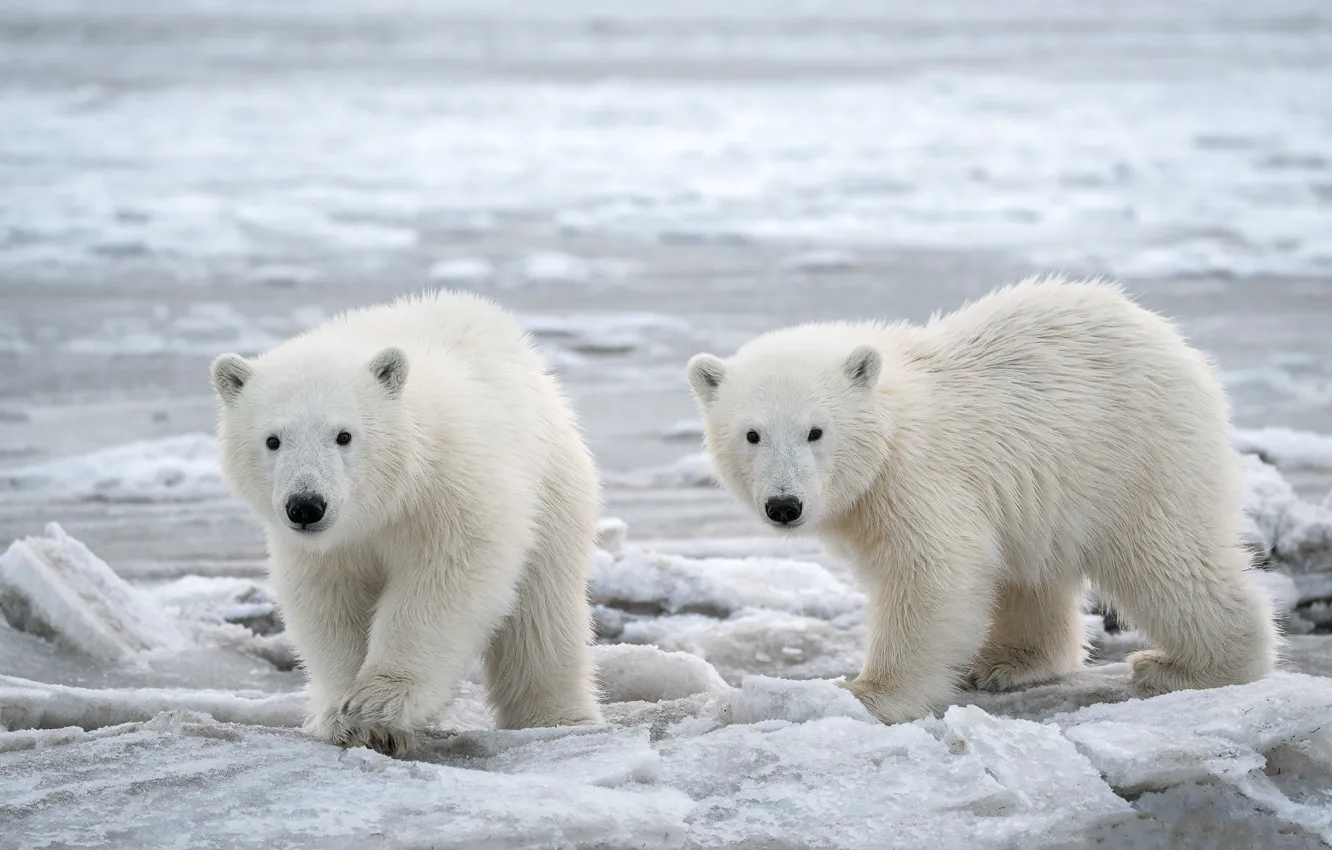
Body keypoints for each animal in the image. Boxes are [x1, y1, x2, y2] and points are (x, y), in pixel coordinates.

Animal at [211, 290, 604, 754]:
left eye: (343, 435)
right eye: (273, 440)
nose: (306, 505)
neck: (384, 503)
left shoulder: (448, 490)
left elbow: (447, 579)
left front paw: (381, 702)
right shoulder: (327, 547)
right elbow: (329, 602)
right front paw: (346, 718)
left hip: (552, 485)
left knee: (541, 617)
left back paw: (556, 718)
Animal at [685, 276, 1278, 725]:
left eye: (815, 431)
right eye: (752, 434)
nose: (784, 505)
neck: (892, 427)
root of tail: (1174, 342)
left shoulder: (920, 479)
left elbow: (932, 574)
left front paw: (867, 692)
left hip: (1135, 454)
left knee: (1167, 558)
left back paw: (1190, 667)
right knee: (1034, 572)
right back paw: (1007, 663)